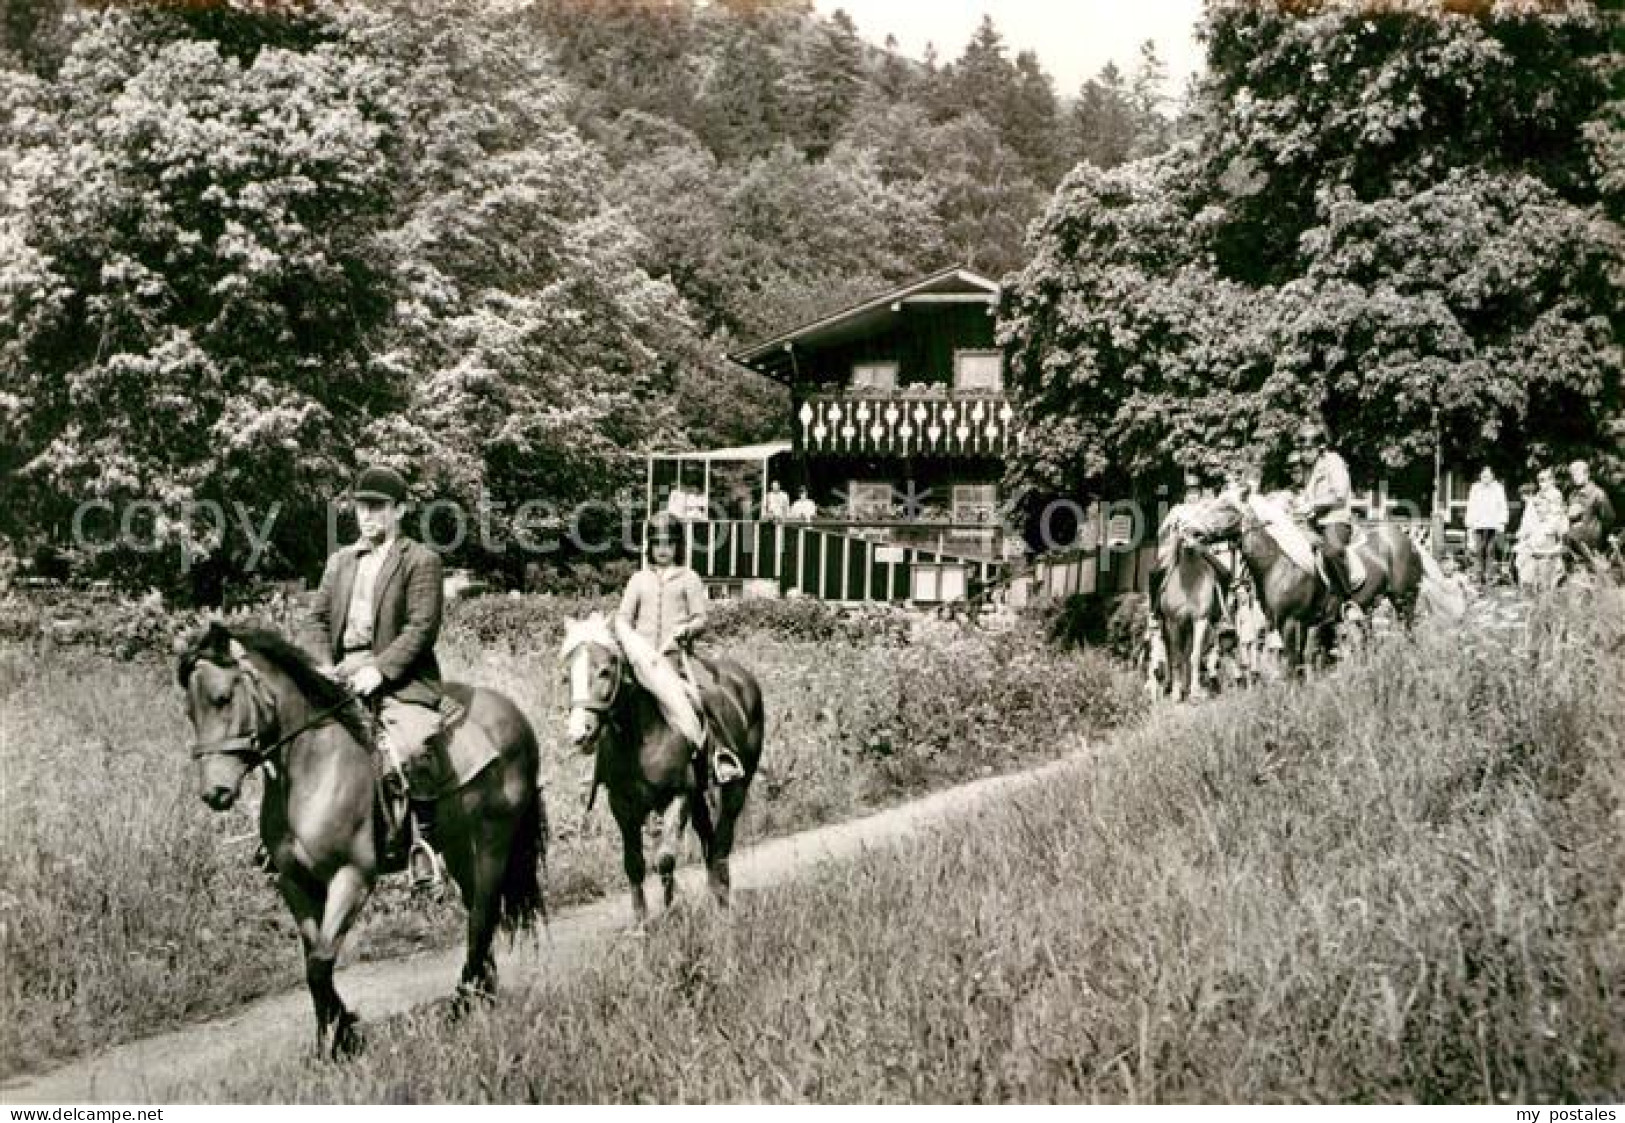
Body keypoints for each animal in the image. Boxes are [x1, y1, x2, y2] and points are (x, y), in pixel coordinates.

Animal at [176, 624, 546, 1053]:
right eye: (189, 712)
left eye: (222, 698)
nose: (214, 793)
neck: (310, 769)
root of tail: (514, 714)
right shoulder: (295, 882)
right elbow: (313, 958)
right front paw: (336, 1036)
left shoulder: (351, 877)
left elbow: (320, 963)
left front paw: (341, 1038)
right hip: (458, 847)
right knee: (477, 914)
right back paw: (481, 996)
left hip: (492, 843)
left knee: (483, 916)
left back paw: (463, 1004)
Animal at [559, 620, 760, 929]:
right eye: (568, 674)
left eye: (605, 670)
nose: (580, 734)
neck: (640, 737)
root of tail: (743, 678)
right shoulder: (622, 804)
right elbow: (634, 864)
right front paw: (641, 923)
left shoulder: (678, 797)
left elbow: (665, 859)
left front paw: (670, 910)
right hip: (699, 798)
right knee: (707, 836)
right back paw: (714, 892)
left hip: (736, 788)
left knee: (722, 841)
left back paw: (723, 900)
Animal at [1183, 484, 1423, 676]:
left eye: (1225, 507)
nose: (1190, 532)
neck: (1280, 563)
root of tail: (1406, 540)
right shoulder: (1298, 624)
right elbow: (1299, 663)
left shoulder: (1291, 622)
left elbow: (1291, 664)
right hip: (1368, 608)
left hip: (1404, 601)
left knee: (1409, 634)